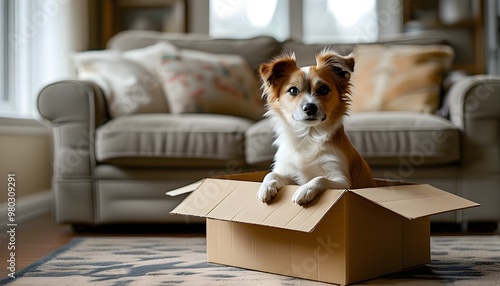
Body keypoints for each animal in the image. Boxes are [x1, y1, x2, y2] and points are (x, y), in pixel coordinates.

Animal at [258, 49, 376, 206]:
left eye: (324, 89)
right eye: (293, 90)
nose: (310, 107)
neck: (308, 135)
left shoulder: (343, 182)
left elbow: (321, 178)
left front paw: (305, 189)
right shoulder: (289, 173)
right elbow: (272, 174)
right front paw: (266, 186)